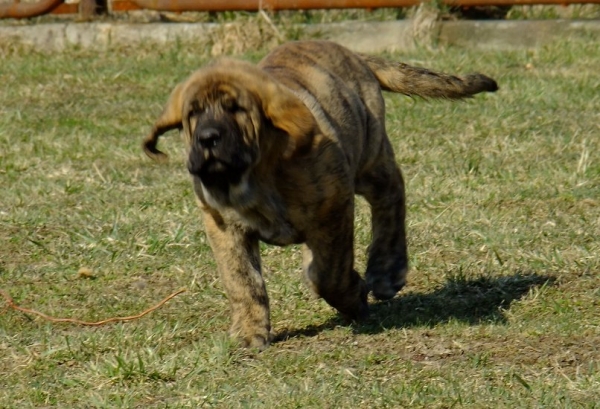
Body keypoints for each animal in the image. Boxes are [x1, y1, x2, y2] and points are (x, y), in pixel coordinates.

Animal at [142, 40, 496, 348]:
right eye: (193, 114)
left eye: (237, 110)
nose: (207, 138)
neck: (254, 175)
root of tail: (351, 53)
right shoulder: (223, 226)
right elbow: (242, 280)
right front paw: (248, 330)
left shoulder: (334, 206)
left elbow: (329, 273)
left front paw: (354, 297)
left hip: (369, 156)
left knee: (392, 194)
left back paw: (387, 269)